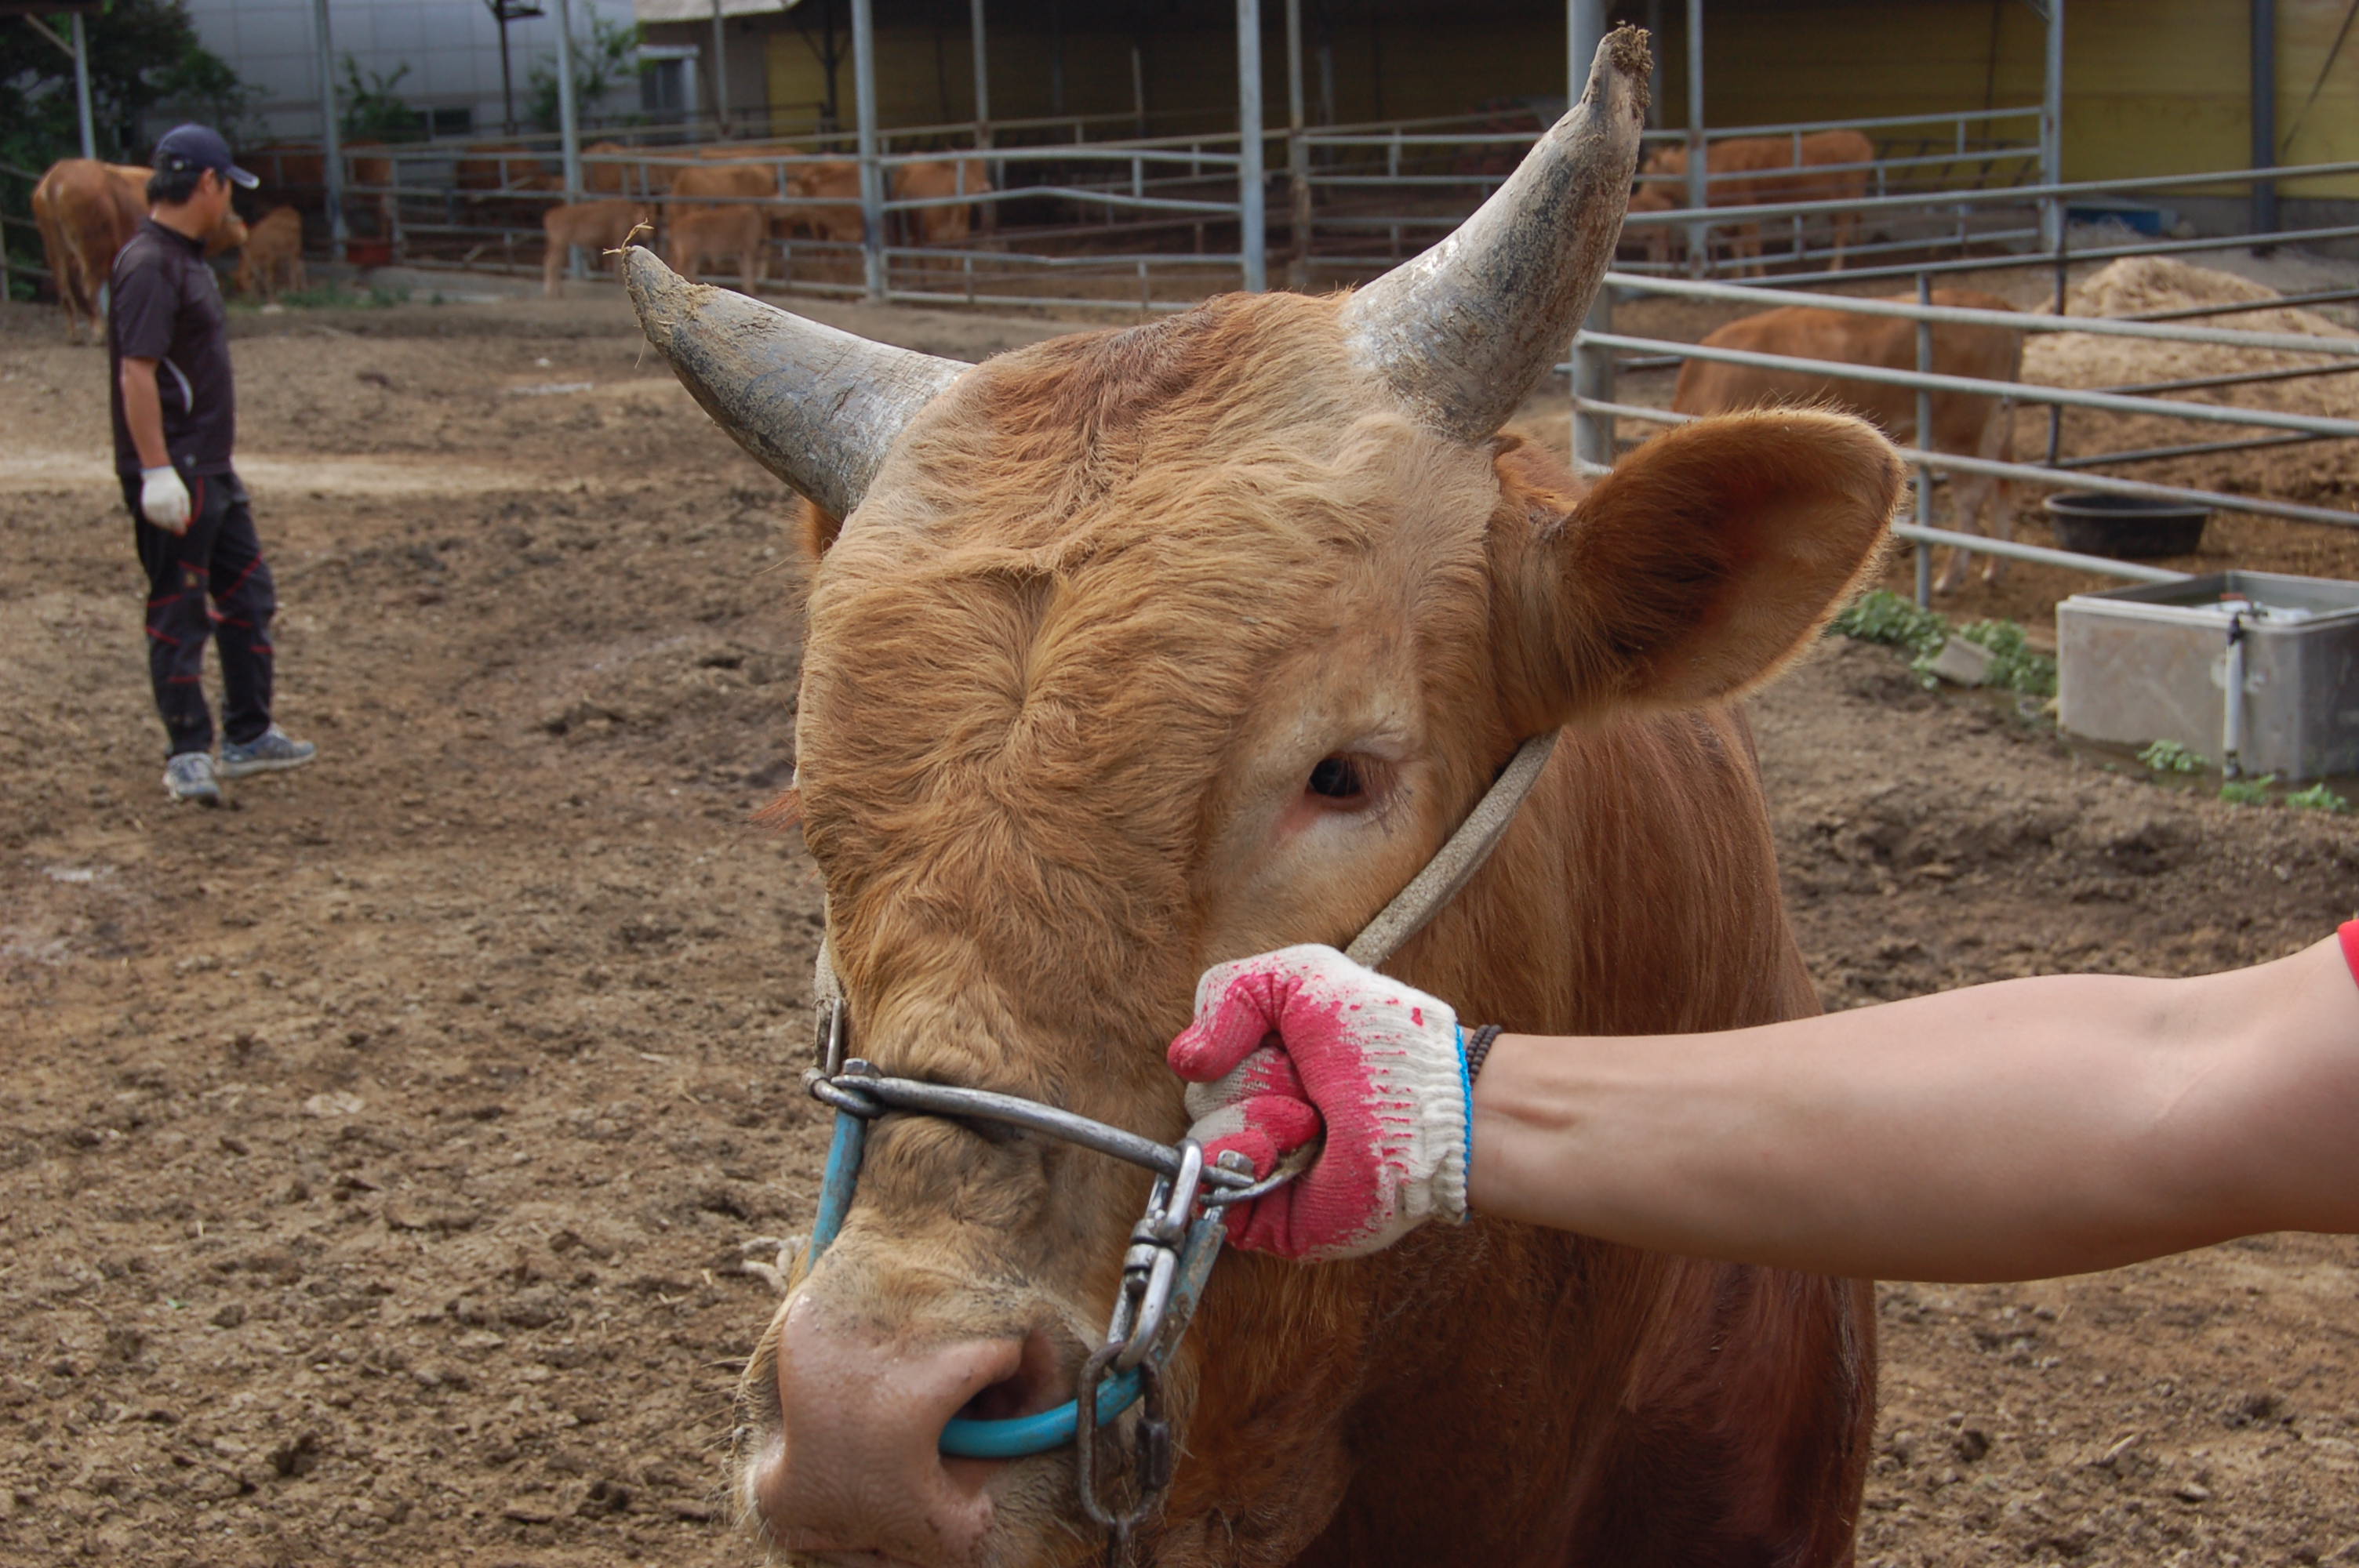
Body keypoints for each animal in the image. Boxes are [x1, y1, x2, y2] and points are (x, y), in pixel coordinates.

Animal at [1679, 289, 2028, 593]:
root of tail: (1996, 303)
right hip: (1990, 420)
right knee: (2001, 476)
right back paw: (1995, 568)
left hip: (1962, 426)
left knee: (1971, 494)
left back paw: (1950, 577)